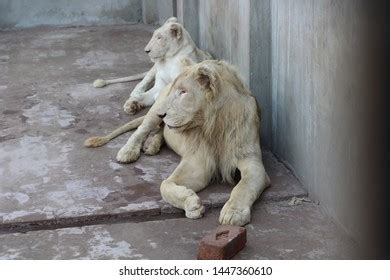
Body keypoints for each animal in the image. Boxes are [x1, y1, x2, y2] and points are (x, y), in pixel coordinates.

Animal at [85, 60, 270, 226]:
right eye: (177, 91)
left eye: (183, 92)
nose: (161, 114)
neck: (214, 126)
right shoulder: (198, 164)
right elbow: (165, 185)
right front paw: (192, 204)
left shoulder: (252, 162)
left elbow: (243, 186)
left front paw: (233, 213)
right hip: (154, 109)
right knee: (142, 129)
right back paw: (128, 151)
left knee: (161, 130)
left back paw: (152, 145)